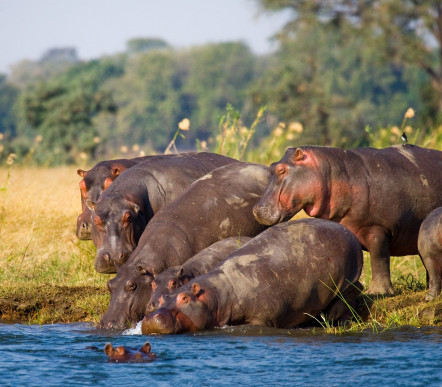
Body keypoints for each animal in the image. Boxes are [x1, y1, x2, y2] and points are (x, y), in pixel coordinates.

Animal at [142, 220, 362, 334]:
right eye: (162, 298)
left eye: (184, 298)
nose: (150, 318)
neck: (217, 294)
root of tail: (348, 232)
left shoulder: (261, 318)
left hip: (347, 281)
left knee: (348, 299)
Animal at [252, 145, 442, 294]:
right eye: (272, 166)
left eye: (281, 169)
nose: (256, 209)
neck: (332, 174)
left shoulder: (376, 229)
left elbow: (379, 259)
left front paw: (377, 292)